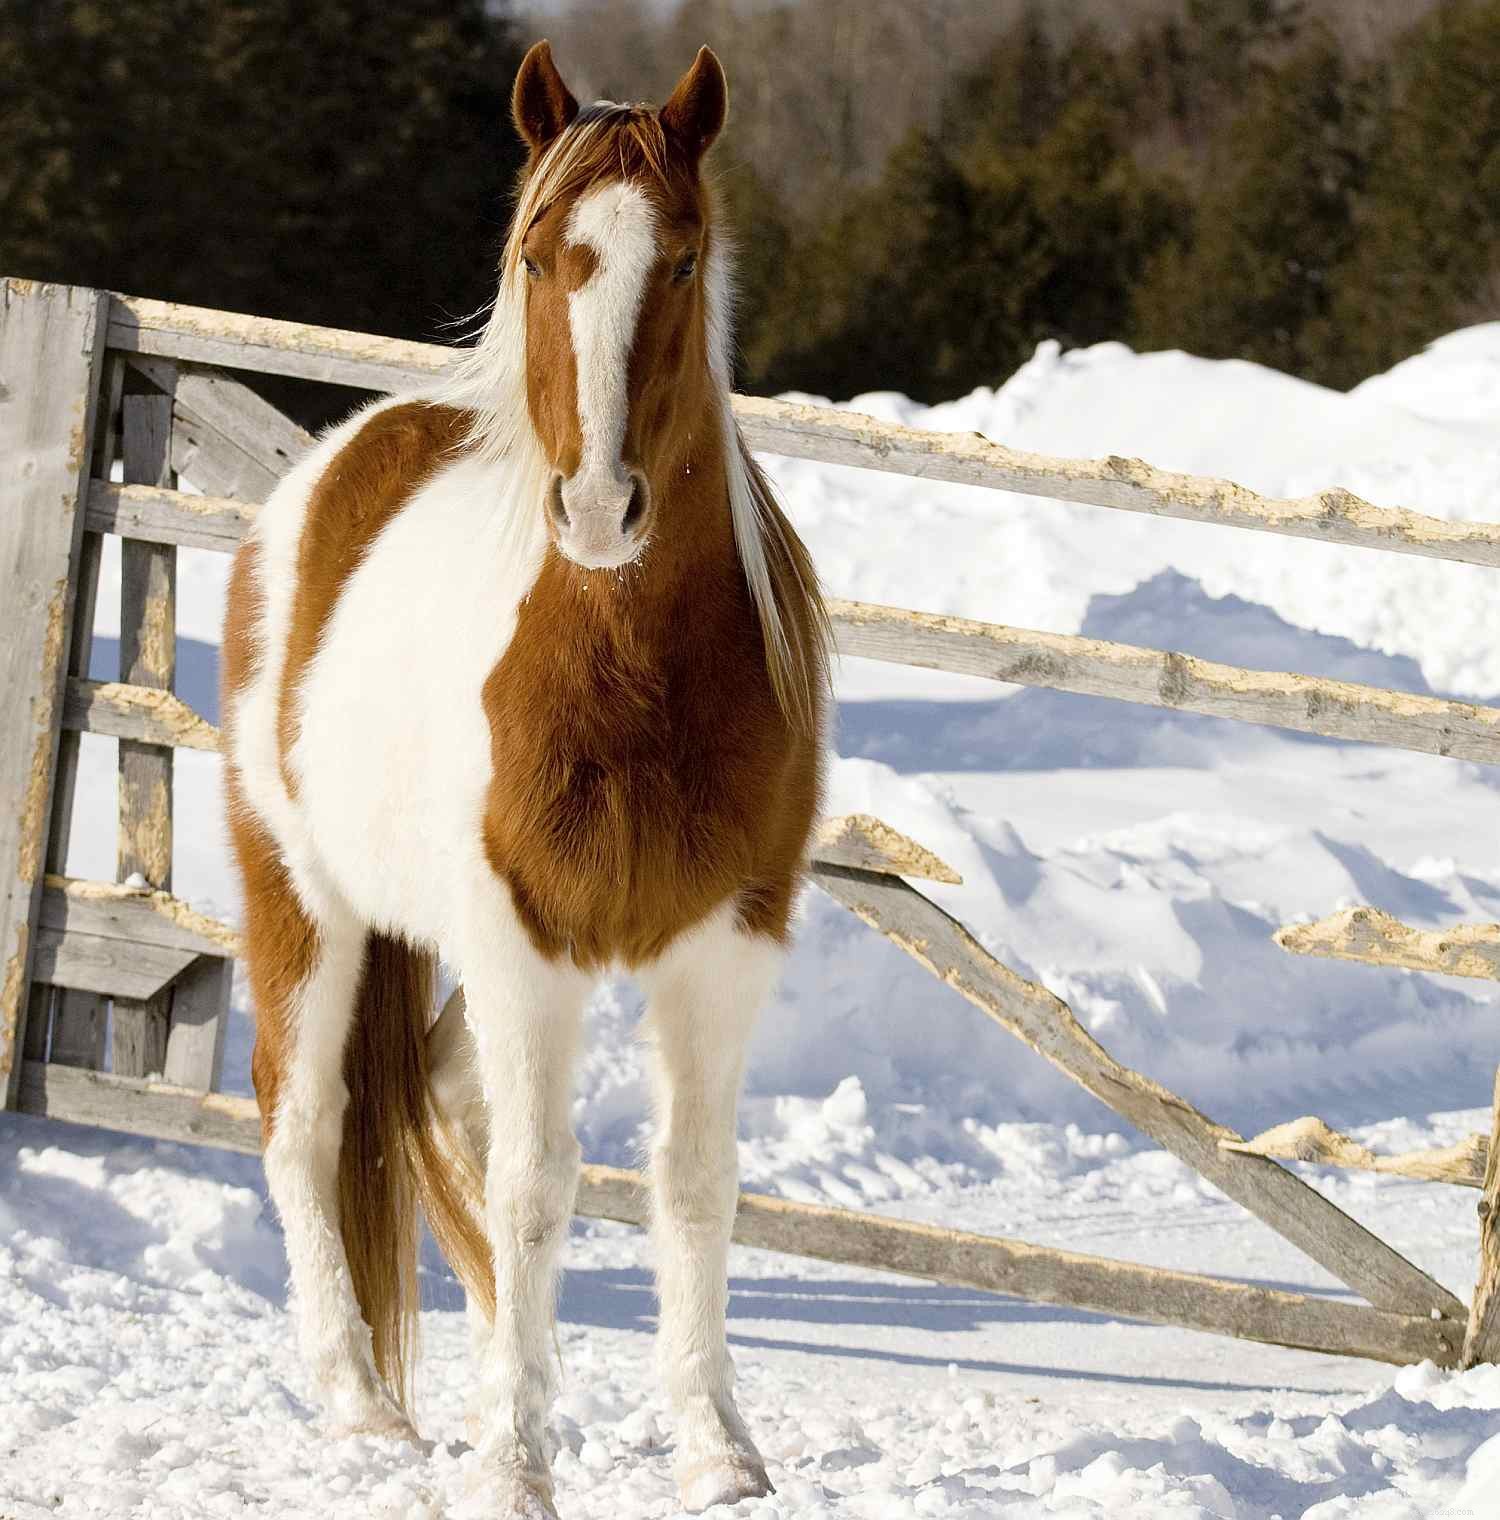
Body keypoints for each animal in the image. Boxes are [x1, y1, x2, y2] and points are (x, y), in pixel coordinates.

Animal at [221, 39, 829, 1517]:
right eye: (545, 255)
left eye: (681, 258)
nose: (601, 507)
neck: (625, 670)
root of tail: (324, 478)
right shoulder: (521, 943)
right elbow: (535, 1187)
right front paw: (513, 1465)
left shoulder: (725, 944)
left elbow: (690, 1182)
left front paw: (717, 1448)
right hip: (303, 904)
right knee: (307, 1124)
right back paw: (364, 1408)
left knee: (445, 1106)